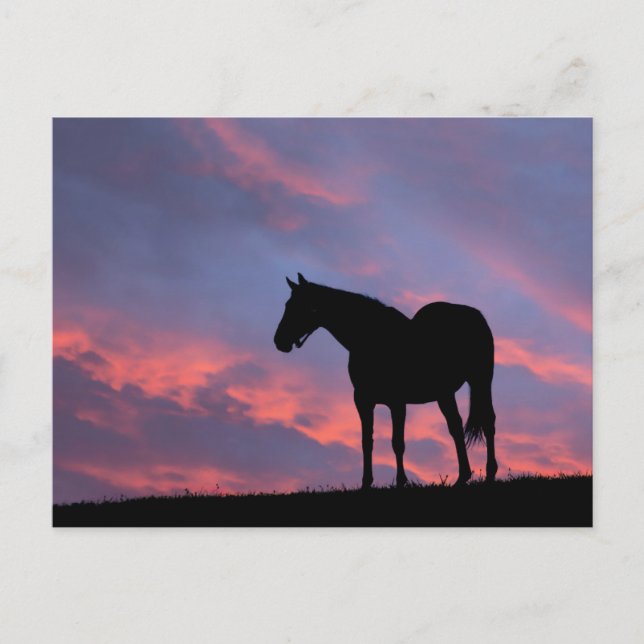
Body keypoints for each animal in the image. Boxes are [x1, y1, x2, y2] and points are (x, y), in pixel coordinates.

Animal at [273, 273, 497, 489]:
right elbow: (367, 441)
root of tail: (475, 315)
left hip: (481, 380)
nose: (279, 341)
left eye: (301, 306)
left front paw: (400, 482)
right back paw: (462, 477)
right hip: (445, 393)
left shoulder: (397, 402)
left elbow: (397, 442)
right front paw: (366, 483)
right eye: (287, 304)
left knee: (488, 422)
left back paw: (490, 475)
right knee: (456, 427)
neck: (372, 338)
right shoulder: (363, 400)